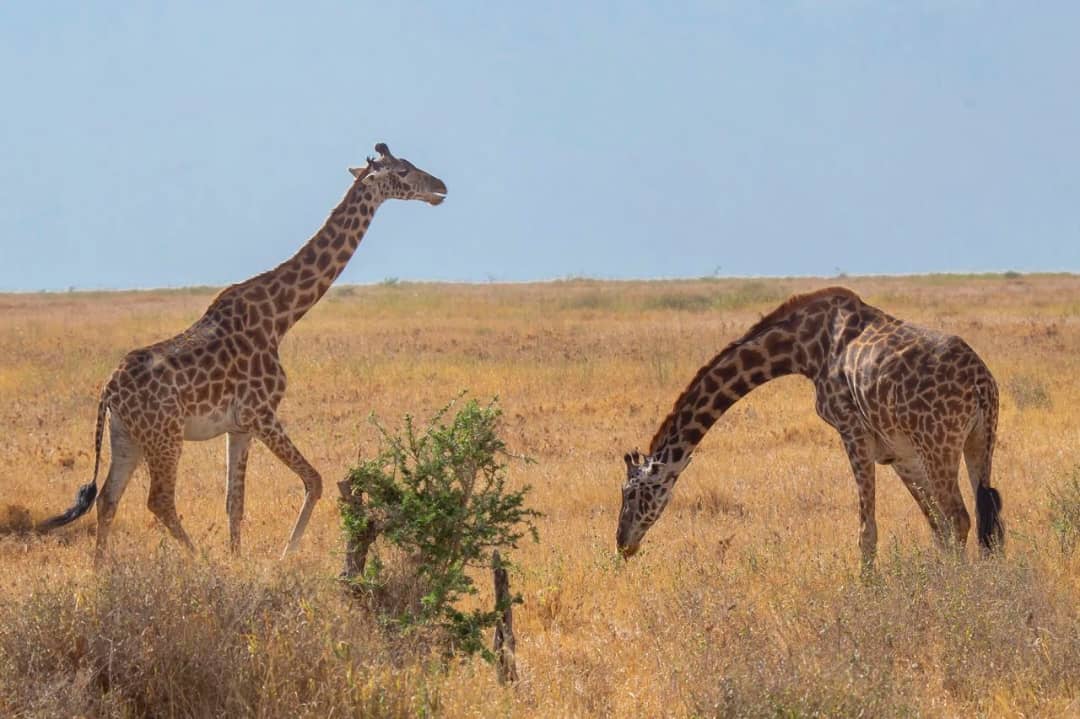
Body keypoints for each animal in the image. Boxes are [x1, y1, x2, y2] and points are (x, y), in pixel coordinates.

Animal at [39, 143, 447, 563]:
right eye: (402, 170)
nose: (440, 188)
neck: (280, 317)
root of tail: (108, 391)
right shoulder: (261, 412)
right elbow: (314, 480)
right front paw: (283, 557)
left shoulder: (239, 425)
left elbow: (235, 501)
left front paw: (238, 558)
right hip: (165, 436)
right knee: (159, 500)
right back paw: (200, 561)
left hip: (127, 437)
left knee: (108, 498)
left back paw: (101, 568)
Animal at [616, 287, 1004, 567]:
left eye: (632, 493)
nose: (622, 543)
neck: (803, 349)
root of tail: (981, 383)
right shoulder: (899, 453)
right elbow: (935, 526)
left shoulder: (852, 431)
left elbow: (869, 530)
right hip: (978, 441)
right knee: (986, 516)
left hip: (939, 445)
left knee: (961, 517)